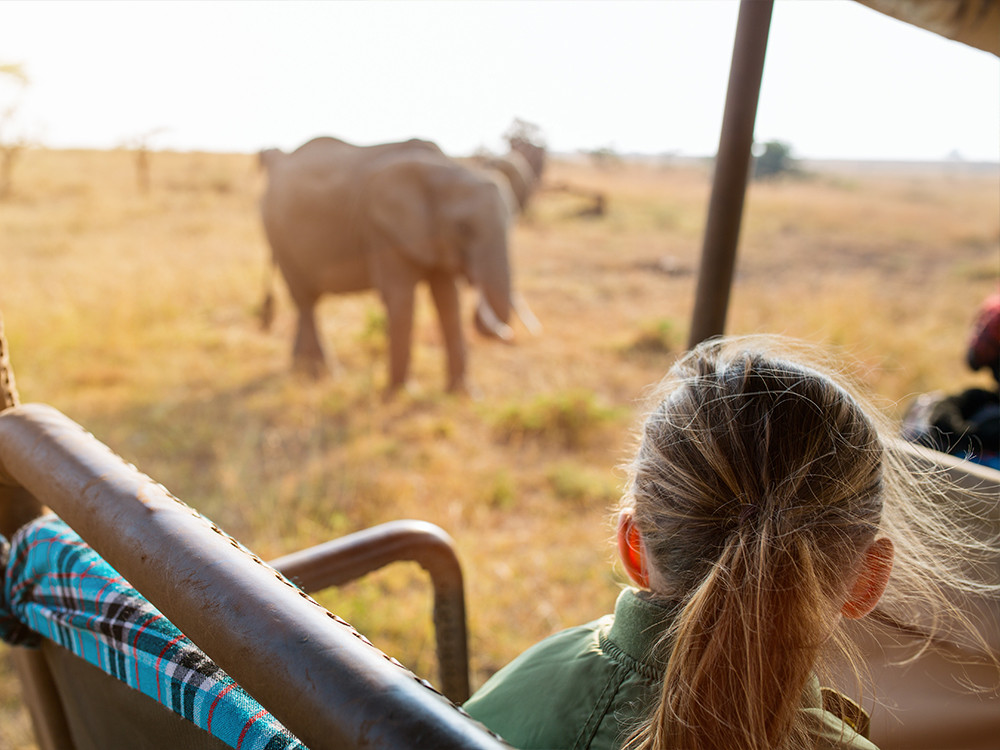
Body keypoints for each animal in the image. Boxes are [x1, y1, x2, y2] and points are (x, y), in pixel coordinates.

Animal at [262, 137, 536, 396]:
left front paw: (465, 394)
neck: (444, 169)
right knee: (304, 299)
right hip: (278, 234)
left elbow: (449, 299)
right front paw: (402, 393)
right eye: (463, 228)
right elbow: (402, 298)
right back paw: (322, 374)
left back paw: (300, 369)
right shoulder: (381, 228)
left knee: (306, 302)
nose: (508, 334)